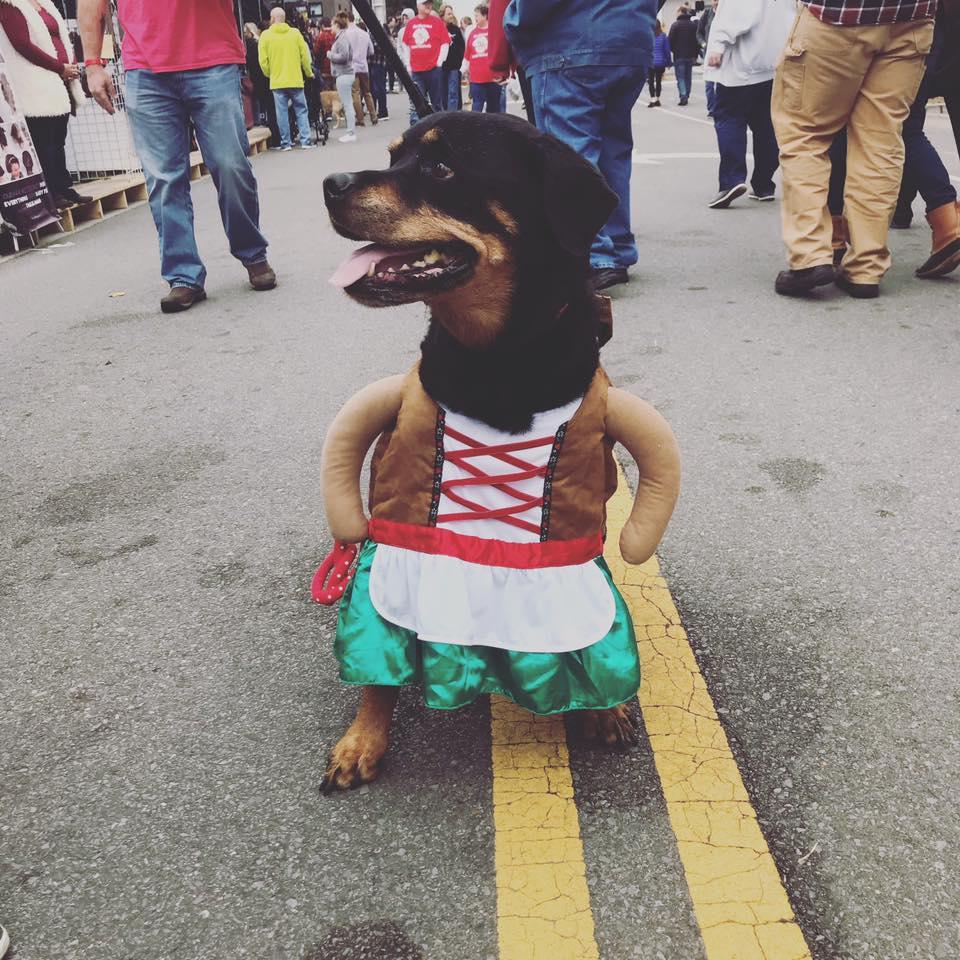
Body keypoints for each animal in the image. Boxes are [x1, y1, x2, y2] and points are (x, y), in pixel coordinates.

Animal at [318, 112, 680, 792]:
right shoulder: (395, 532)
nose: (330, 183)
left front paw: (603, 705)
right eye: (394, 155)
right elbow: (380, 655)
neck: (500, 360)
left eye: (441, 167)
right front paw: (363, 739)